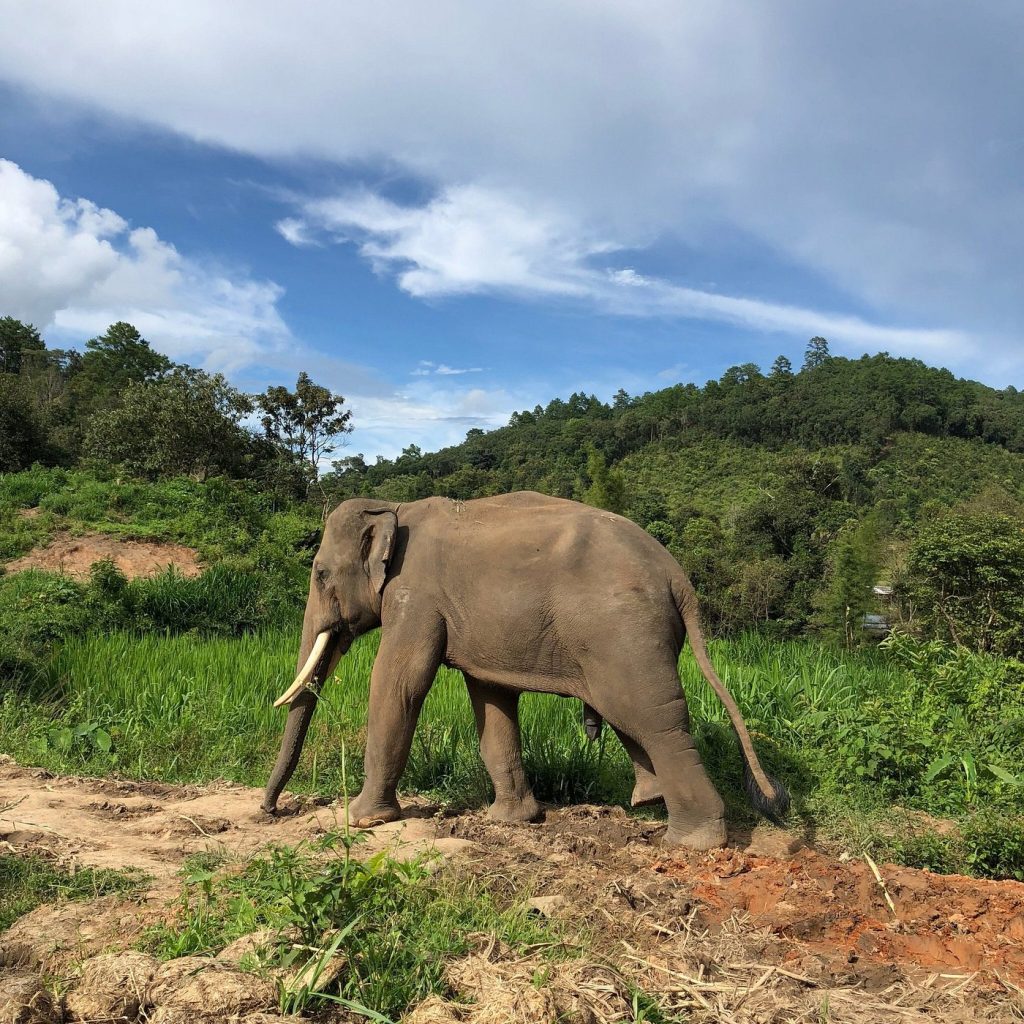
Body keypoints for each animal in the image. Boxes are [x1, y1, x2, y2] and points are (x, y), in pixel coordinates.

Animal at [263, 492, 788, 849]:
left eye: (320, 574)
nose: (271, 812)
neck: (394, 507)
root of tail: (677, 574)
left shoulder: (416, 596)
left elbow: (399, 683)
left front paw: (361, 820)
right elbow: (491, 698)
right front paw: (510, 820)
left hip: (624, 632)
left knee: (653, 716)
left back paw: (692, 841)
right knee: (634, 715)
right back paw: (648, 802)